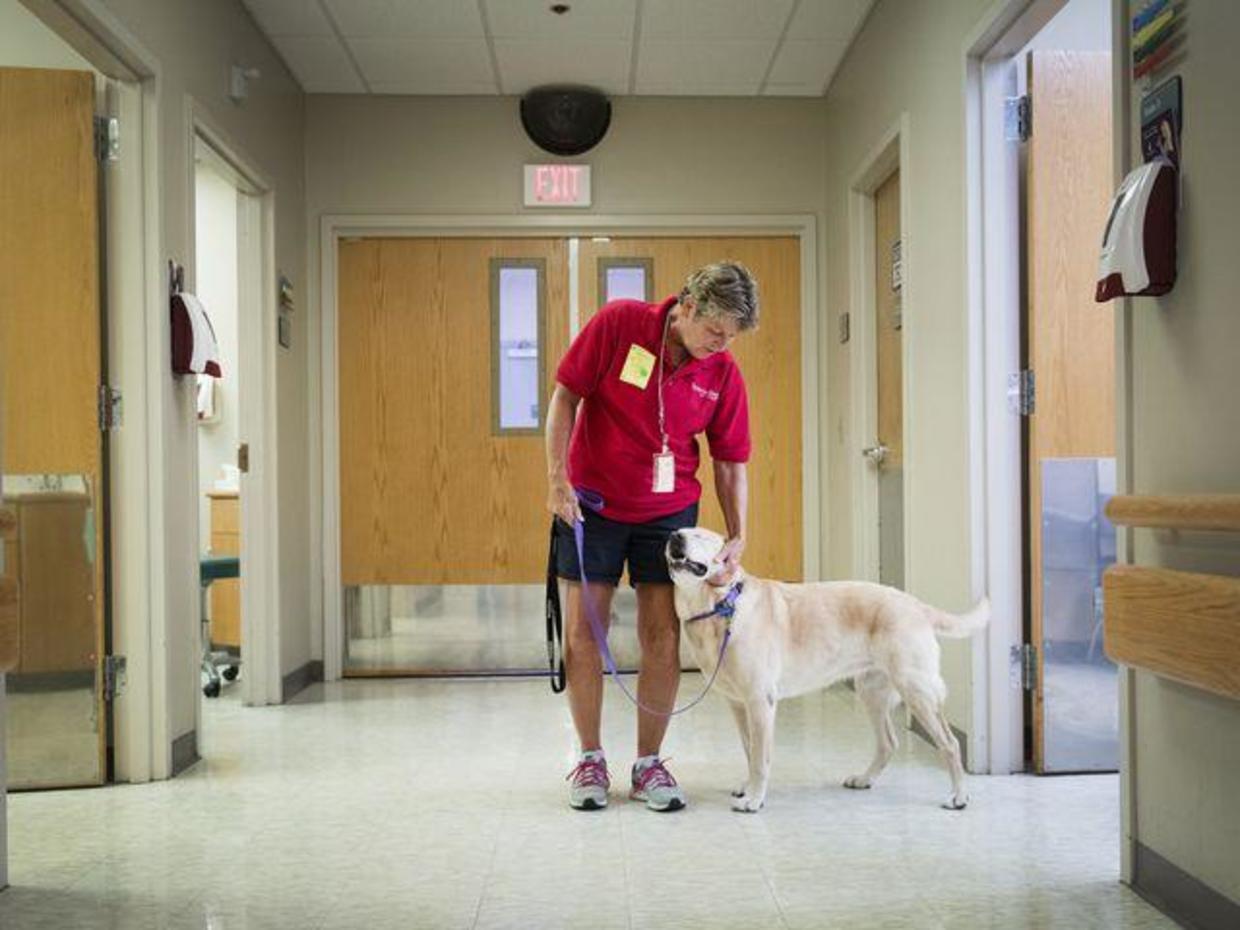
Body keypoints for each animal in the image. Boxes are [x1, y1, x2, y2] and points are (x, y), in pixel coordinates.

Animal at [664, 528, 992, 813]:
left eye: (700, 535)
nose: (673, 536)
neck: (720, 604)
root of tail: (915, 603)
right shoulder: (738, 704)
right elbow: (749, 749)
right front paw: (748, 787)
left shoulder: (760, 701)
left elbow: (759, 758)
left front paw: (755, 799)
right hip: (872, 691)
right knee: (888, 742)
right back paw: (864, 779)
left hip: (916, 688)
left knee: (950, 743)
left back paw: (959, 796)